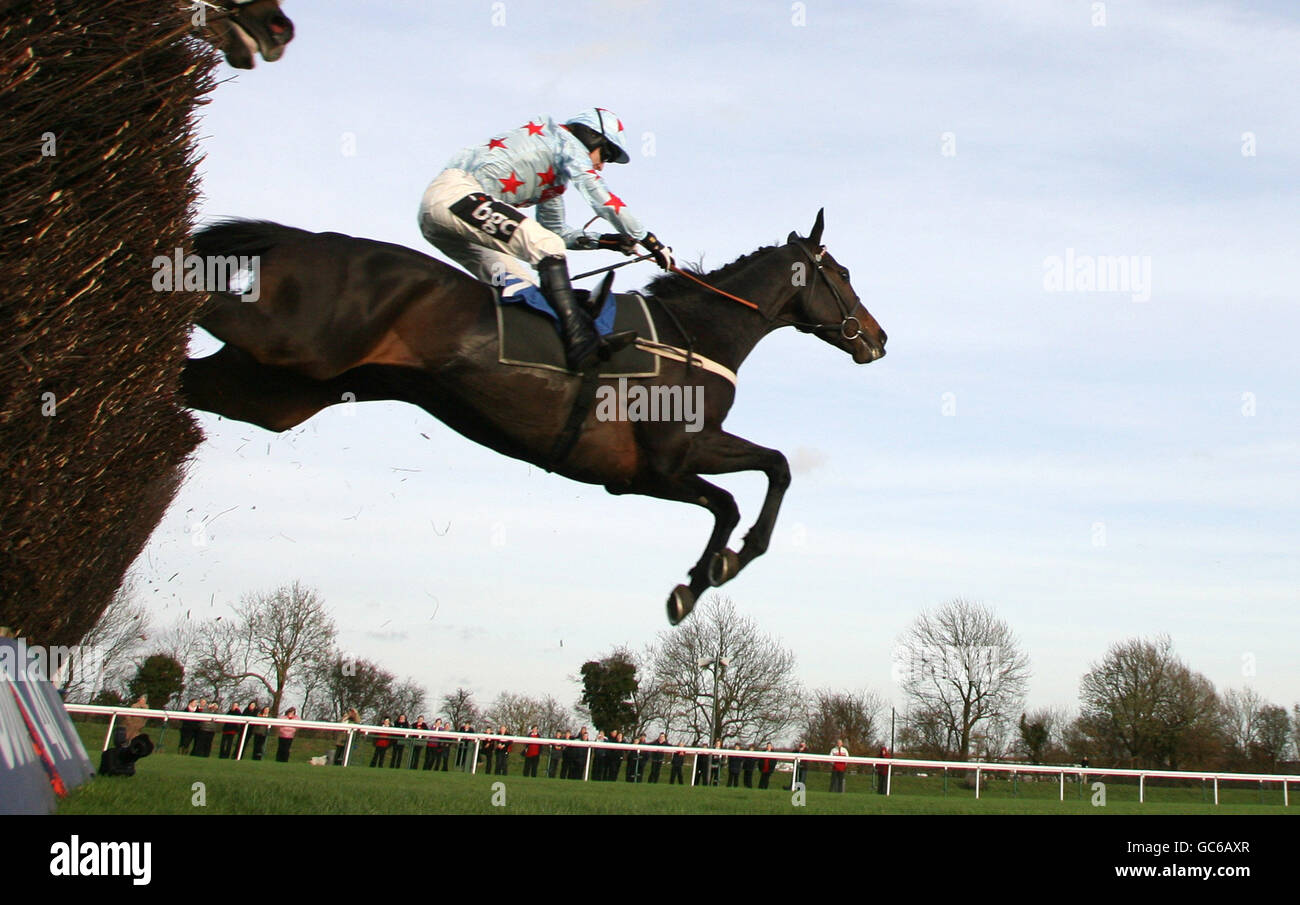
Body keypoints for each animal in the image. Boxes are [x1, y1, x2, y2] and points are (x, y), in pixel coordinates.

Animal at [183, 210, 889, 621]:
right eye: (844, 273)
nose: (878, 338)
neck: (697, 332)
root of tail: (314, 239)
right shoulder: (658, 467)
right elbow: (736, 500)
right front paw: (702, 577)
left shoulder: (672, 459)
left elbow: (777, 467)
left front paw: (713, 570)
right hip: (290, 342)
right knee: (190, 297)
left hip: (278, 391)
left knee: (189, 380)